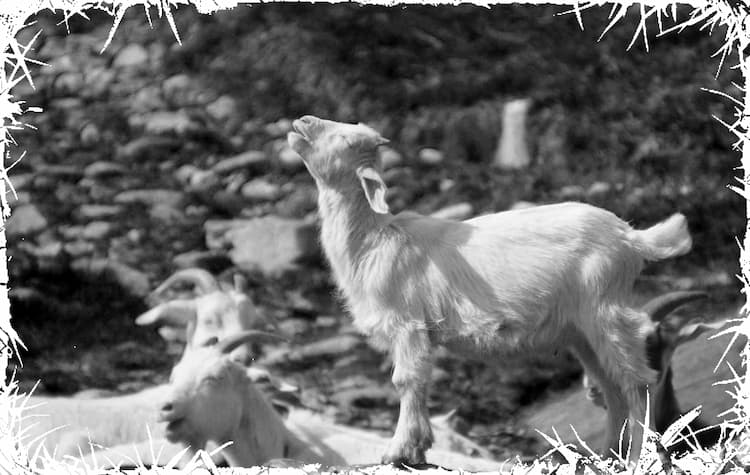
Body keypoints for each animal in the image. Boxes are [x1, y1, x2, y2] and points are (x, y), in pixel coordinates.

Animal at [287, 115, 692, 464]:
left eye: (346, 139)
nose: (302, 122)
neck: (374, 239)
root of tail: (631, 237)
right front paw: (418, 448)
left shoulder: (408, 325)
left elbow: (406, 380)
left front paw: (399, 451)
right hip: (582, 331)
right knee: (611, 388)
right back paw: (609, 454)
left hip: (605, 309)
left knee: (638, 381)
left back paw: (641, 455)